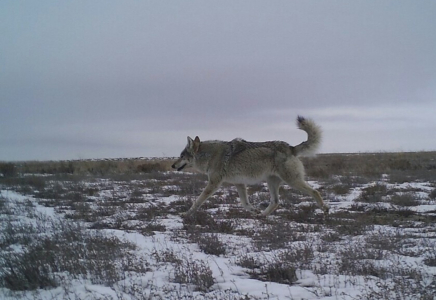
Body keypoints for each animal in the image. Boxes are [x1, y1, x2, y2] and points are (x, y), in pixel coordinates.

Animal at [172, 116, 328, 217]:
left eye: (181, 156)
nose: (172, 165)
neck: (210, 156)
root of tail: (291, 148)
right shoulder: (239, 184)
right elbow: (245, 203)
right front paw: (255, 211)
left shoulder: (214, 184)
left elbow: (197, 201)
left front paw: (186, 213)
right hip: (272, 182)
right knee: (275, 202)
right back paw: (262, 215)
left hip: (292, 181)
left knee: (315, 192)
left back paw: (325, 209)